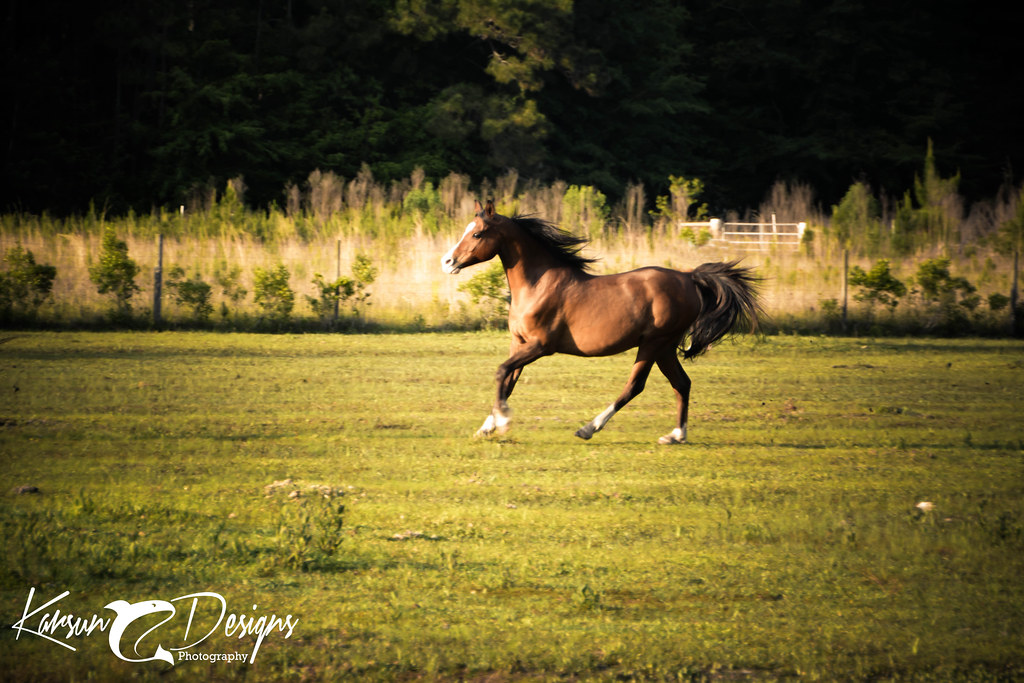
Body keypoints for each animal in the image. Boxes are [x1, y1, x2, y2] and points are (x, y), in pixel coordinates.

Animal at [441, 199, 762, 444]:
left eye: (478, 234)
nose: (447, 262)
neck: (538, 284)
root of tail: (688, 277)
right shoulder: (518, 343)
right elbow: (508, 380)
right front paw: (487, 427)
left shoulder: (540, 346)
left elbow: (500, 372)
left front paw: (503, 421)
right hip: (665, 347)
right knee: (681, 383)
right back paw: (675, 436)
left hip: (654, 343)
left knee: (635, 386)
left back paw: (588, 428)